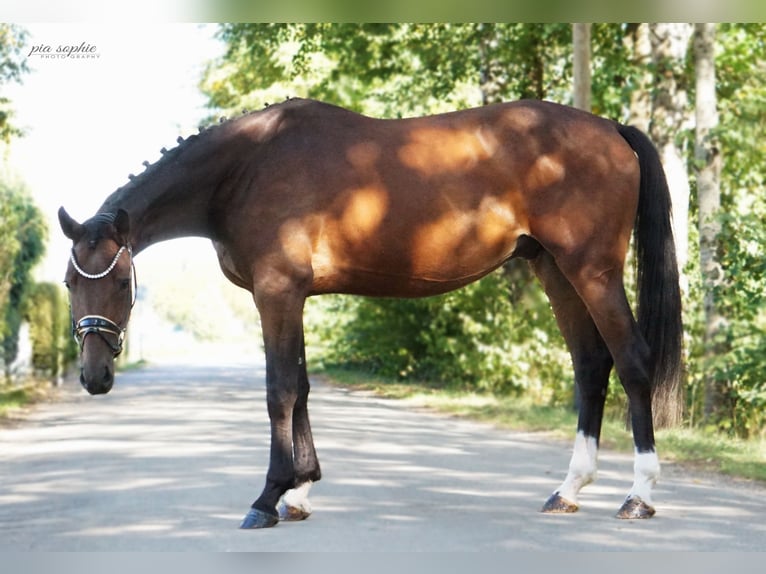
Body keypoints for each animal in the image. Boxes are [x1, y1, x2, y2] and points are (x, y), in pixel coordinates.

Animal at [58, 98, 683, 529]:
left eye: (120, 281)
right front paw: (300, 493)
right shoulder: (293, 296)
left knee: (632, 362)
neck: (245, 169)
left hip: (592, 271)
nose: (95, 376)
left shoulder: (277, 293)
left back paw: (639, 496)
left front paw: (267, 498)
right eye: (68, 283)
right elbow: (303, 388)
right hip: (553, 268)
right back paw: (569, 489)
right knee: (590, 366)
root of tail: (612, 130)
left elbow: (280, 391)